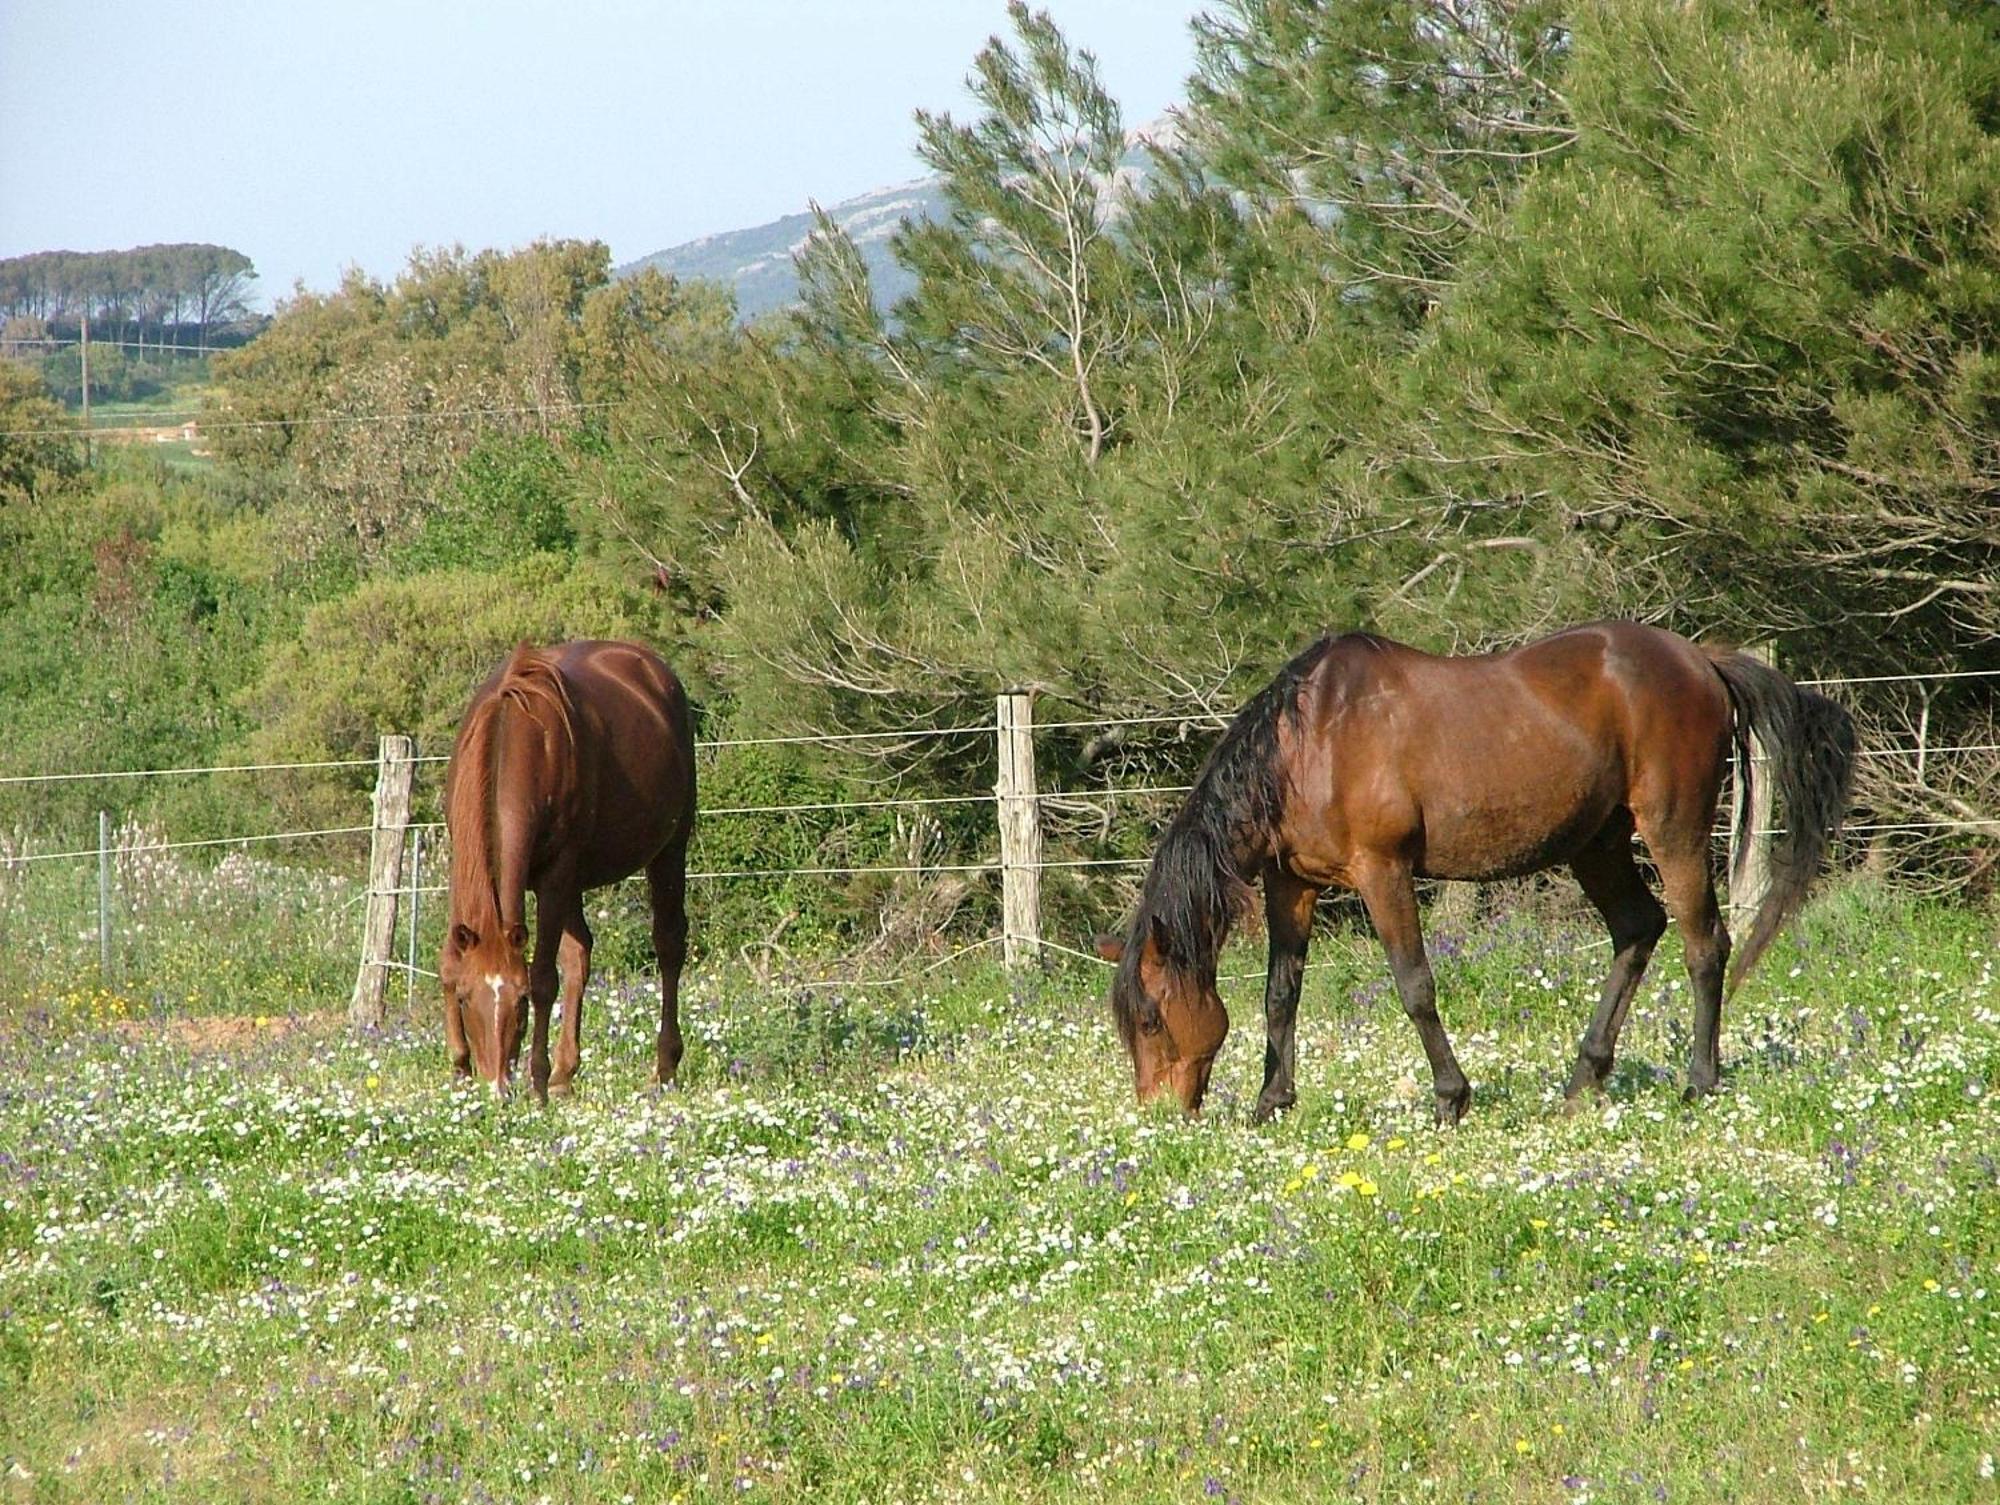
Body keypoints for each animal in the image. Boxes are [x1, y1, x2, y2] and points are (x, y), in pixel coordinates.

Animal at [440, 640, 696, 1096]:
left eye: (521, 1002)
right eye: (466, 999)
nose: (499, 1087)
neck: (514, 739)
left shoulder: (555, 877)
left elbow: (545, 978)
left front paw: (538, 1081)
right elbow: (449, 962)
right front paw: (460, 1067)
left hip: (669, 849)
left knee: (668, 944)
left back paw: (663, 1066)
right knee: (580, 957)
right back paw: (565, 1072)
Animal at [1104, 616, 1848, 1120]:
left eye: (1151, 1021)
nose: (1159, 1114)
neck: (1310, 741)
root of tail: (1701, 658)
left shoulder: (1383, 871)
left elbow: (1414, 986)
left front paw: (1451, 1096)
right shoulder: (1293, 883)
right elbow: (1280, 993)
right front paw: (1272, 1101)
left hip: (1673, 828)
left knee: (1704, 944)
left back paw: (1699, 1080)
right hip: (1596, 844)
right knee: (1638, 929)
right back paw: (1583, 1078)